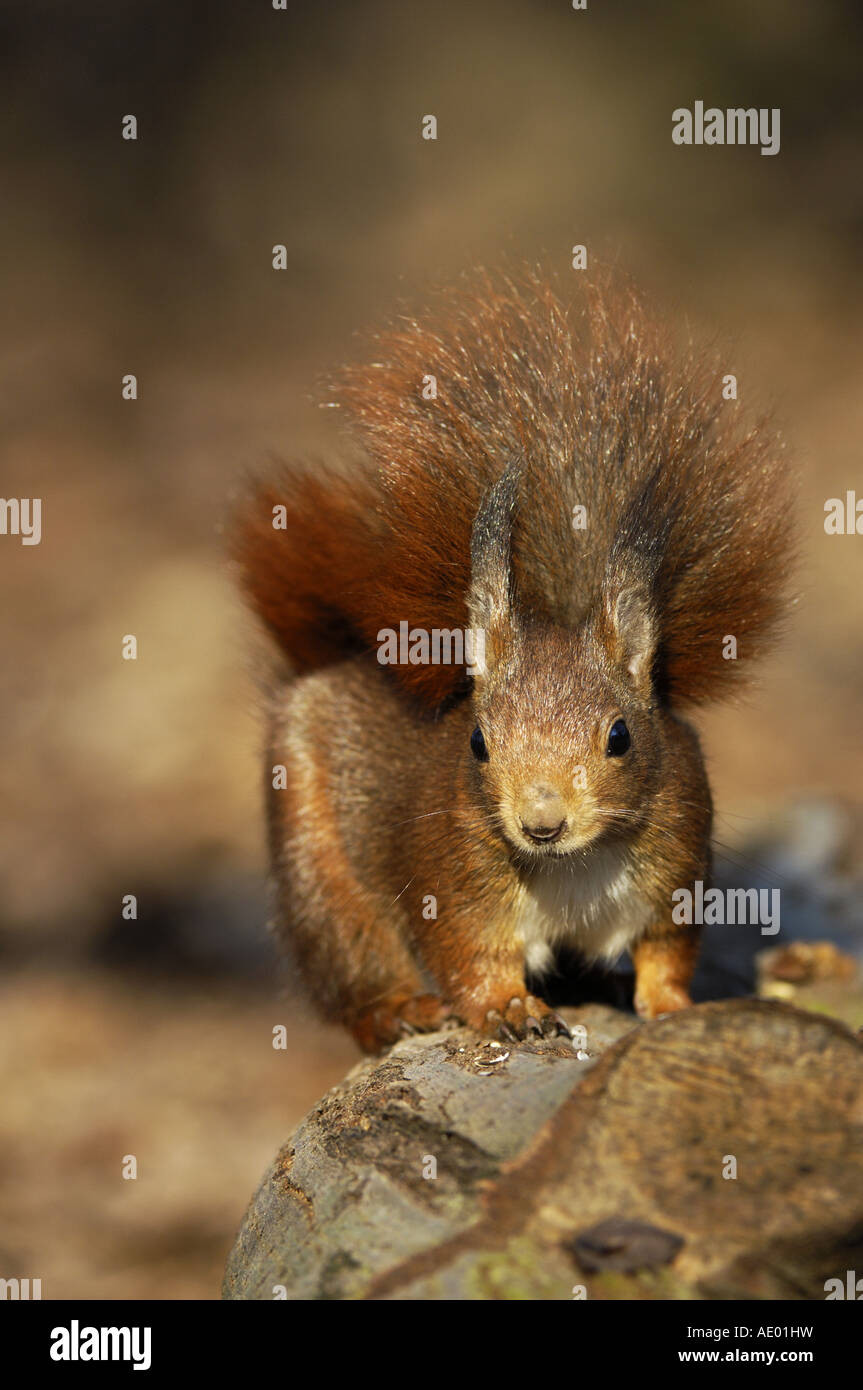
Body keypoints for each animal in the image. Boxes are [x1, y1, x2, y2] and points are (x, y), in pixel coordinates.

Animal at [232, 265, 789, 1050]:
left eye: (620, 737)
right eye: (477, 742)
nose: (541, 824)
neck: (574, 865)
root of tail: (326, 667)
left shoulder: (676, 863)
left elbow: (666, 952)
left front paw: (673, 1005)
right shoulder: (454, 884)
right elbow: (470, 961)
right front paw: (507, 1009)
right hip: (313, 850)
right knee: (351, 961)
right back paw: (397, 1009)